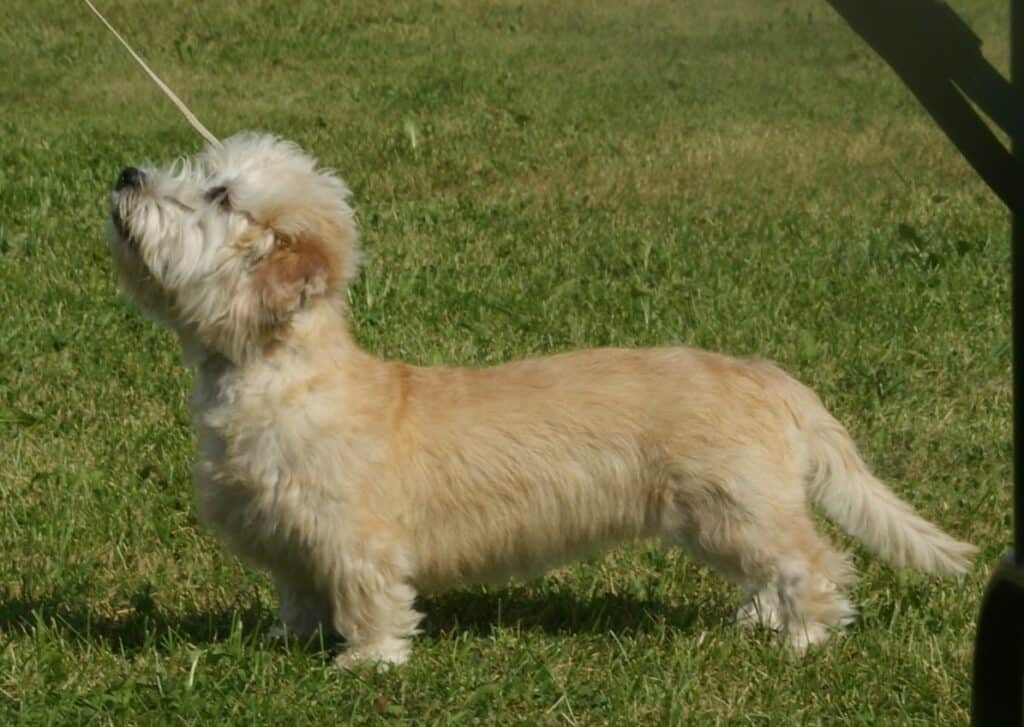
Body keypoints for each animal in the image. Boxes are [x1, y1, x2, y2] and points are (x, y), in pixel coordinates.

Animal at [105, 134, 974, 667]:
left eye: (219, 195)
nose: (125, 175)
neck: (278, 375)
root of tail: (761, 372)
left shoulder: (355, 537)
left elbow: (371, 596)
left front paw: (368, 662)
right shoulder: (285, 537)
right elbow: (296, 598)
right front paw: (288, 642)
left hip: (741, 503)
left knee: (815, 561)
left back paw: (804, 638)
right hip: (719, 514)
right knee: (769, 571)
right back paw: (758, 621)